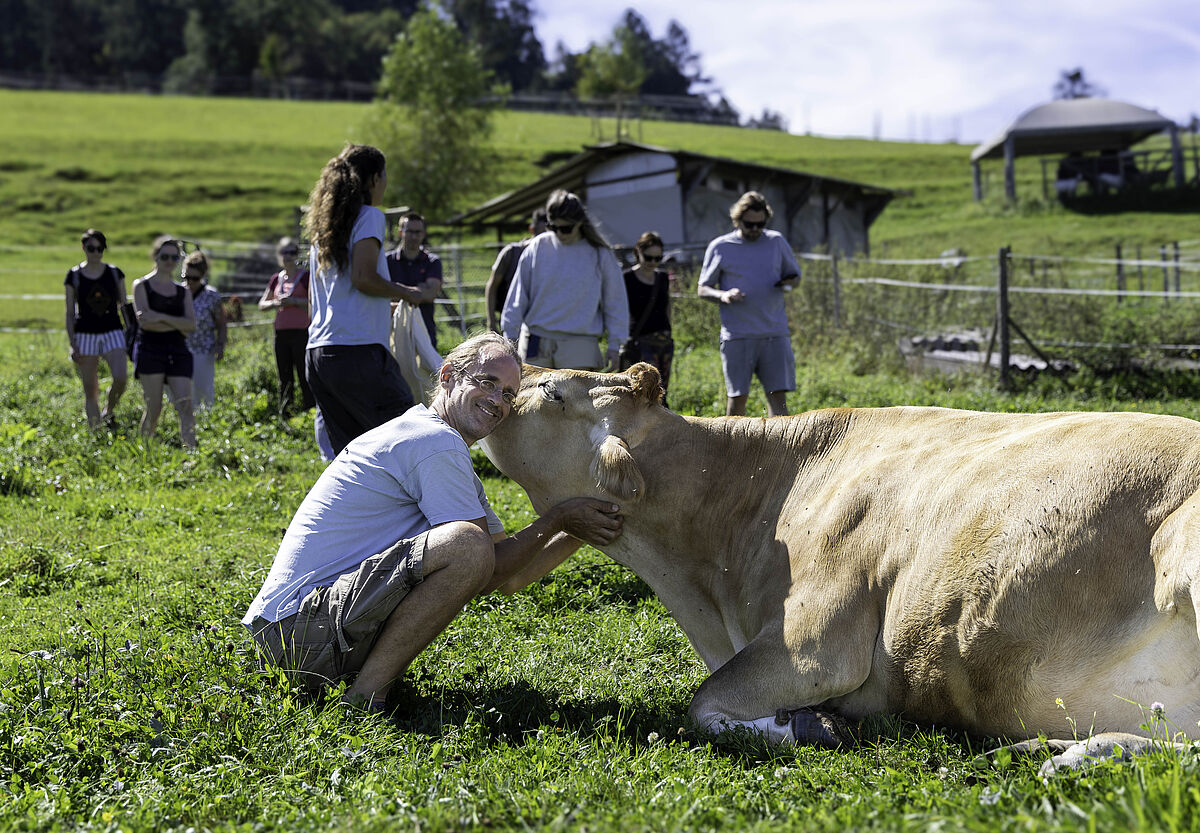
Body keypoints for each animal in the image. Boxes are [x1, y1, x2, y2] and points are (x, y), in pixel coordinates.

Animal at [480, 367, 1200, 777]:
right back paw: (1065, 749)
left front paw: (807, 725)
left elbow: (702, 703)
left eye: (551, 391)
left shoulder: (816, 642)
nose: (505, 364)